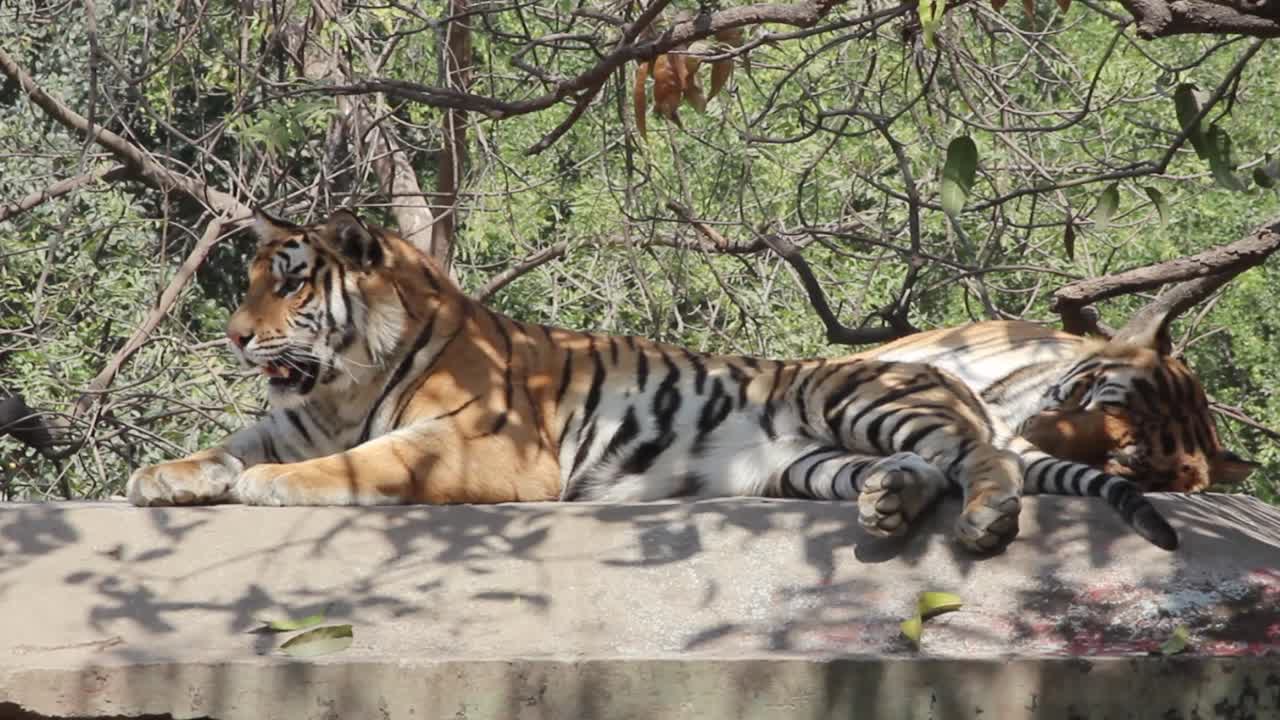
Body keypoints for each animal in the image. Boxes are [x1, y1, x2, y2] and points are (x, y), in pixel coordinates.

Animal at [125, 209, 1178, 552]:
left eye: (289, 283)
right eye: (250, 282)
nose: (232, 336)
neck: (344, 380)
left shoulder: (481, 447)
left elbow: (352, 467)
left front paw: (265, 487)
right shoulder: (301, 415)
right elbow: (232, 441)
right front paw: (164, 475)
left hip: (858, 397)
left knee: (972, 456)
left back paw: (988, 516)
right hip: (805, 461)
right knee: (924, 469)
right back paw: (886, 505)